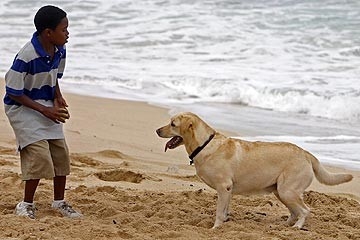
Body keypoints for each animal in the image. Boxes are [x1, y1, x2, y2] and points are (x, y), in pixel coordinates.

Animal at [156, 112, 352, 229]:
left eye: (172, 124)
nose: (157, 130)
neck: (204, 144)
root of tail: (306, 153)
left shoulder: (224, 187)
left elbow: (219, 212)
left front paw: (215, 228)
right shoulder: (228, 191)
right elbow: (225, 210)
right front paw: (225, 222)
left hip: (287, 190)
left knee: (305, 211)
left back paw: (297, 227)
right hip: (281, 191)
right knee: (294, 211)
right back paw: (284, 226)